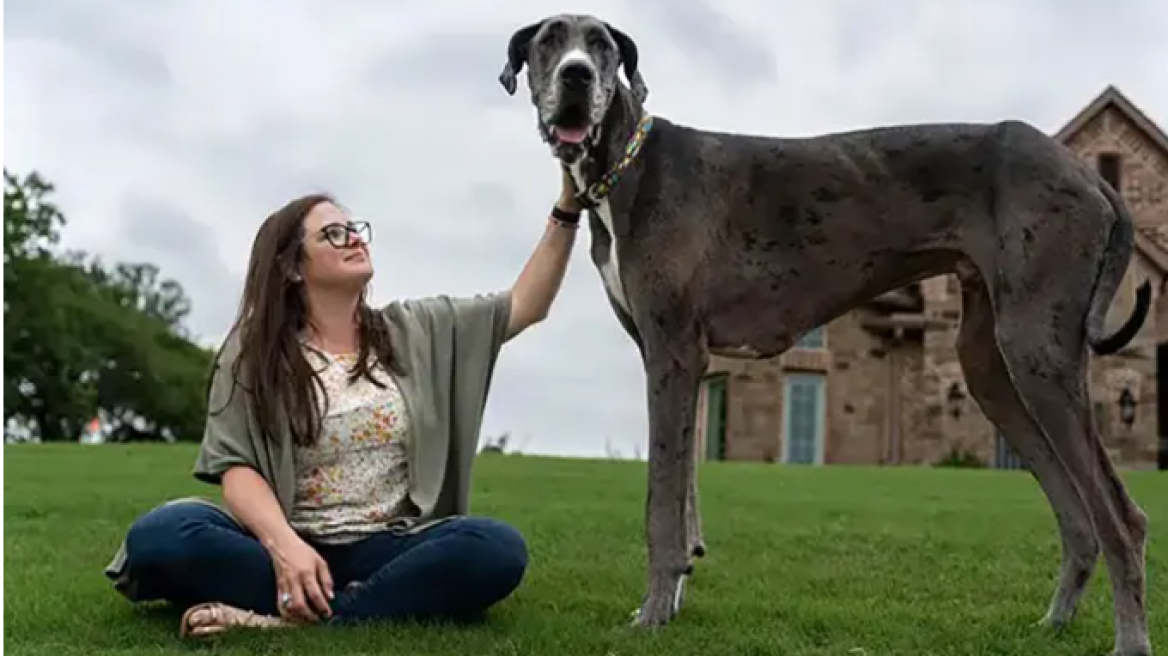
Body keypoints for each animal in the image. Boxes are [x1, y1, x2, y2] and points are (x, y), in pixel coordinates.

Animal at [497, 11, 1153, 653]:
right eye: (549, 40)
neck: (627, 164)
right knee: (1078, 515)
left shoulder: (672, 353)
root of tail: (1092, 178)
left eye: (601, 45)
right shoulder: (682, 364)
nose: (577, 76)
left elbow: (661, 502)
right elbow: (683, 494)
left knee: (1121, 517)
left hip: (1036, 353)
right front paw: (674, 597)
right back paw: (1055, 622)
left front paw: (652, 614)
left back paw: (1130, 640)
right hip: (992, 368)